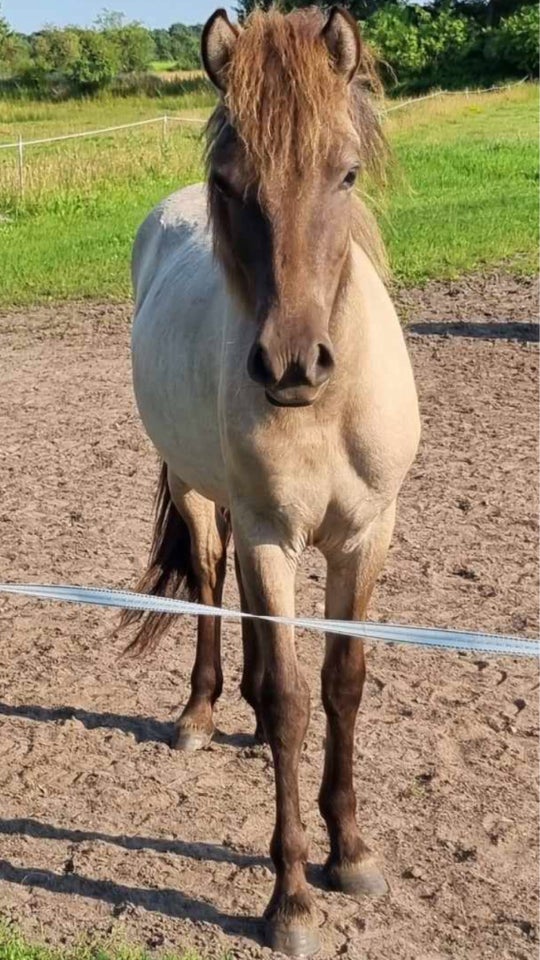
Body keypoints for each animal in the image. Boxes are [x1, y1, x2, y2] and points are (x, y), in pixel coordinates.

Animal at [122, 5, 422, 952]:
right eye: (228, 179)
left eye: (347, 173)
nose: (291, 365)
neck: (326, 406)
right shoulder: (269, 535)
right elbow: (293, 699)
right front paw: (290, 897)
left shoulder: (365, 535)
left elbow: (341, 682)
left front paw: (351, 852)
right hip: (202, 495)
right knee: (212, 582)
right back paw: (202, 714)